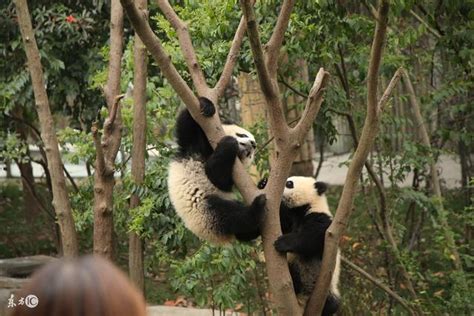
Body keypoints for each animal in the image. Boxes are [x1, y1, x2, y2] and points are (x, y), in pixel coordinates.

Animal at [167, 97, 264, 246]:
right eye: (242, 134)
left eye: (250, 154)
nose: (253, 144)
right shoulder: (192, 147)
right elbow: (187, 122)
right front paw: (206, 106)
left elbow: (217, 177)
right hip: (204, 210)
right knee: (231, 216)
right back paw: (257, 208)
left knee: (234, 218)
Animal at [260, 177, 340, 314]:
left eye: (289, 183)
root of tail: (304, 296)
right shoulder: (290, 219)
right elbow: (281, 222)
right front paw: (263, 183)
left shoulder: (322, 221)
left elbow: (312, 238)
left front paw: (282, 242)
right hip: (295, 265)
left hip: (329, 289)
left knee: (334, 304)